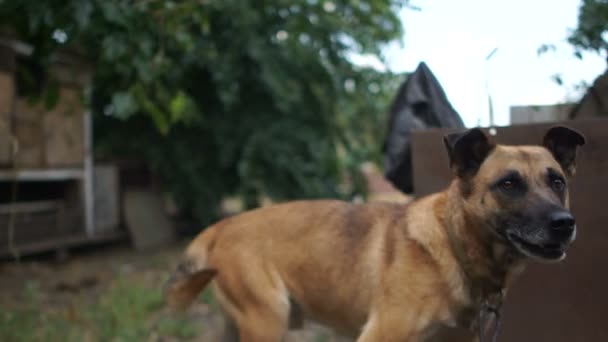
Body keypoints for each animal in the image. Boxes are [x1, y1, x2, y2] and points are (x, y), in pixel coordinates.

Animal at [165, 126, 584, 342]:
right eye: (509, 184)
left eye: (557, 182)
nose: (564, 223)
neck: (452, 246)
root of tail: (224, 223)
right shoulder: (380, 334)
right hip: (268, 321)